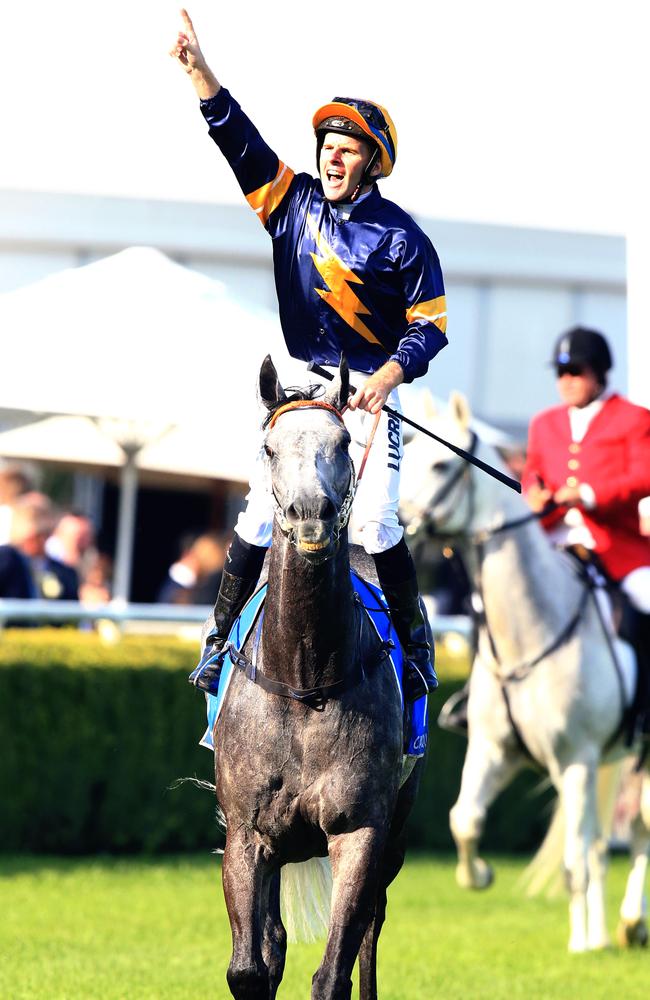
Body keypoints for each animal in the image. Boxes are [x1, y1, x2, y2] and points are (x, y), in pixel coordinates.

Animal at [213, 354, 422, 1000]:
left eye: (343, 441)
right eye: (270, 447)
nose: (310, 516)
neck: (305, 679)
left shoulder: (361, 831)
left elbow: (334, 970)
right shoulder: (246, 832)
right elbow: (249, 968)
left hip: (396, 832)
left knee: (371, 929)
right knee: (276, 939)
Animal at [400, 390, 648, 952]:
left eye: (442, 463)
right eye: (406, 450)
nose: (396, 522)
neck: (529, 635)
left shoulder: (575, 761)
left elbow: (574, 862)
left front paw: (579, 947)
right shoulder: (494, 750)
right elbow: (464, 821)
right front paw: (480, 875)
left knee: (636, 834)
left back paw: (624, 924)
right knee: (603, 841)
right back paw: (609, 930)